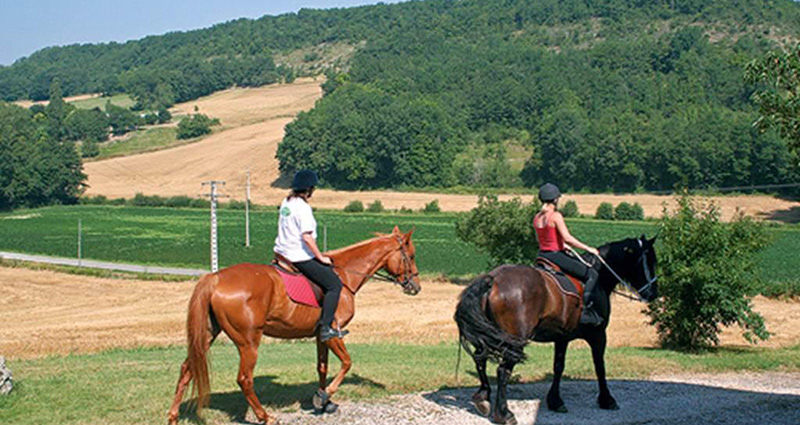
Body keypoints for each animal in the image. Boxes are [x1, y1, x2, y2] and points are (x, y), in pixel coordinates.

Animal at [166, 225, 422, 424]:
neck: (344, 276)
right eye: (411, 255)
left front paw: (323, 401)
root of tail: (215, 278)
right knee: (244, 379)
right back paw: (265, 416)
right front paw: (326, 395)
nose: (416, 287)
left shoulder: (321, 336)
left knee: (187, 369)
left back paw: (173, 416)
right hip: (248, 342)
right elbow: (347, 362)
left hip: (208, 335)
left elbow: (322, 367)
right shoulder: (334, 333)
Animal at [454, 234, 660, 422]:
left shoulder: (562, 336)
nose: (654, 293)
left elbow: (558, 366)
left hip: (488, 335)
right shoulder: (599, 335)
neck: (599, 277)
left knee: (480, 359)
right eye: (650, 261)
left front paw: (555, 401)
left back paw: (483, 397)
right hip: (513, 340)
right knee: (503, 370)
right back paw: (504, 414)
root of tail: (493, 279)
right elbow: (599, 366)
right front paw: (607, 399)